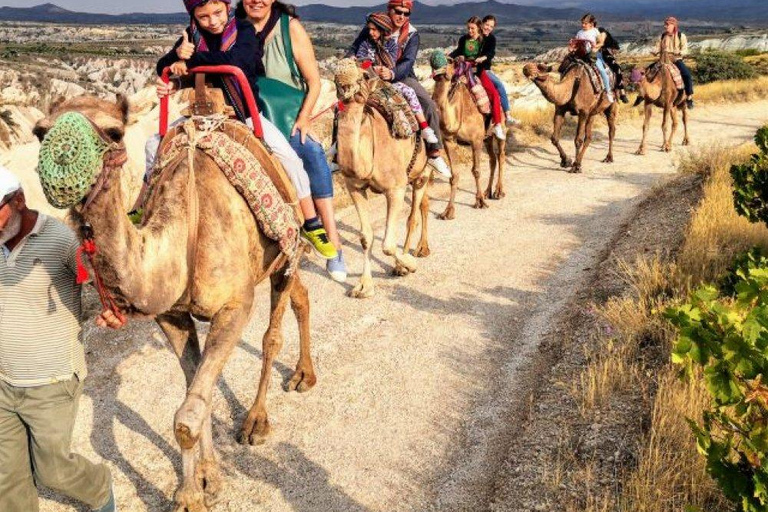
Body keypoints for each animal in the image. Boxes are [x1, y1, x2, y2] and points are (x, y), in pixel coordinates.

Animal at [33, 93, 316, 512]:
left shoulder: (235, 306)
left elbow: (188, 414)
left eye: (114, 131)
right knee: (302, 296)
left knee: (272, 335)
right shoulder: (171, 316)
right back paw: (303, 375)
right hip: (281, 259)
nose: (61, 171)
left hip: (284, 247)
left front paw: (189, 496)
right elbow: (195, 390)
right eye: (41, 132)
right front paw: (206, 479)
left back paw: (256, 420)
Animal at [334, 61, 432, 299]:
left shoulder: (395, 188)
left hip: (421, 173)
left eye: (363, 76)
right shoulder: (354, 188)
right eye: (335, 78)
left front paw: (408, 265)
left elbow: (387, 245)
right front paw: (363, 286)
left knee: (413, 215)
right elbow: (365, 237)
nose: (343, 77)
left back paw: (408, 259)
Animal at [432, 61, 508, 220]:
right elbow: (454, 175)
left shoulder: (476, 140)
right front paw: (448, 211)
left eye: (447, 72)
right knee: (492, 159)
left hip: (501, 129)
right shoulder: (449, 141)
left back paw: (498, 191)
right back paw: (487, 192)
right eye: (433, 70)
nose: (437, 73)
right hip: (487, 137)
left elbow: (476, 171)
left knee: (501, 156)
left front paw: (479, 202)